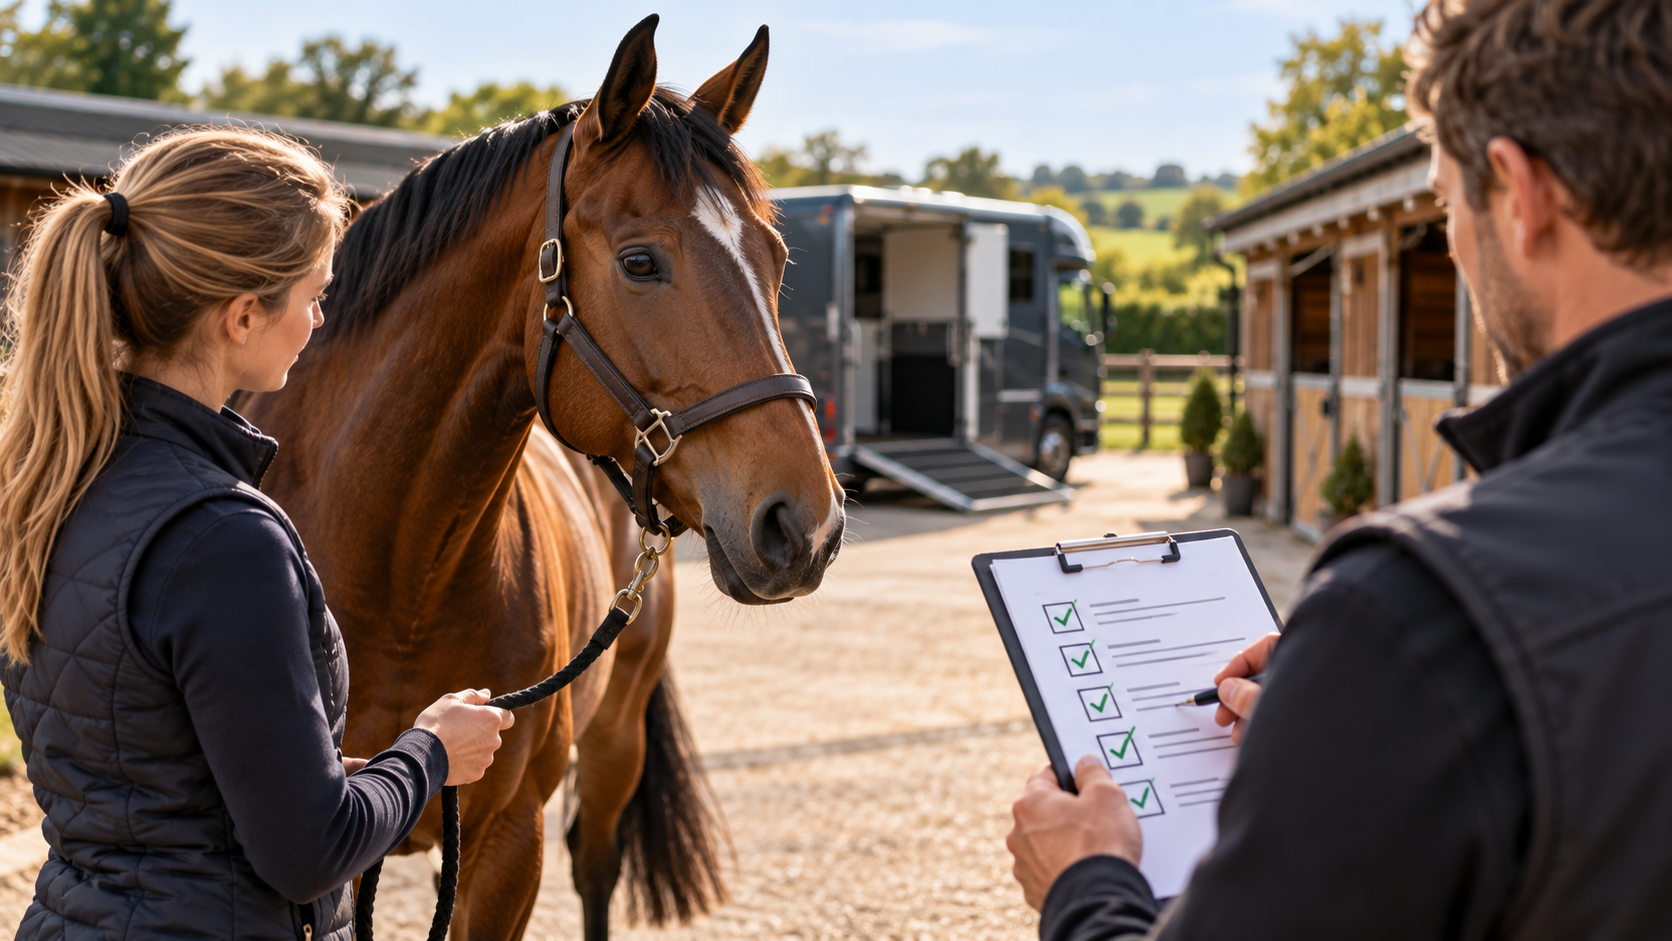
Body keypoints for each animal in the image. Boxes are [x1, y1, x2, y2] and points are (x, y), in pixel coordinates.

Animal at [238, 16, 845, 939]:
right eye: (639, 262)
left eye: (775, 258)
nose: (805, 525)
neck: (402, 578)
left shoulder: (507, 845)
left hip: (616, 737)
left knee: (595, 863)